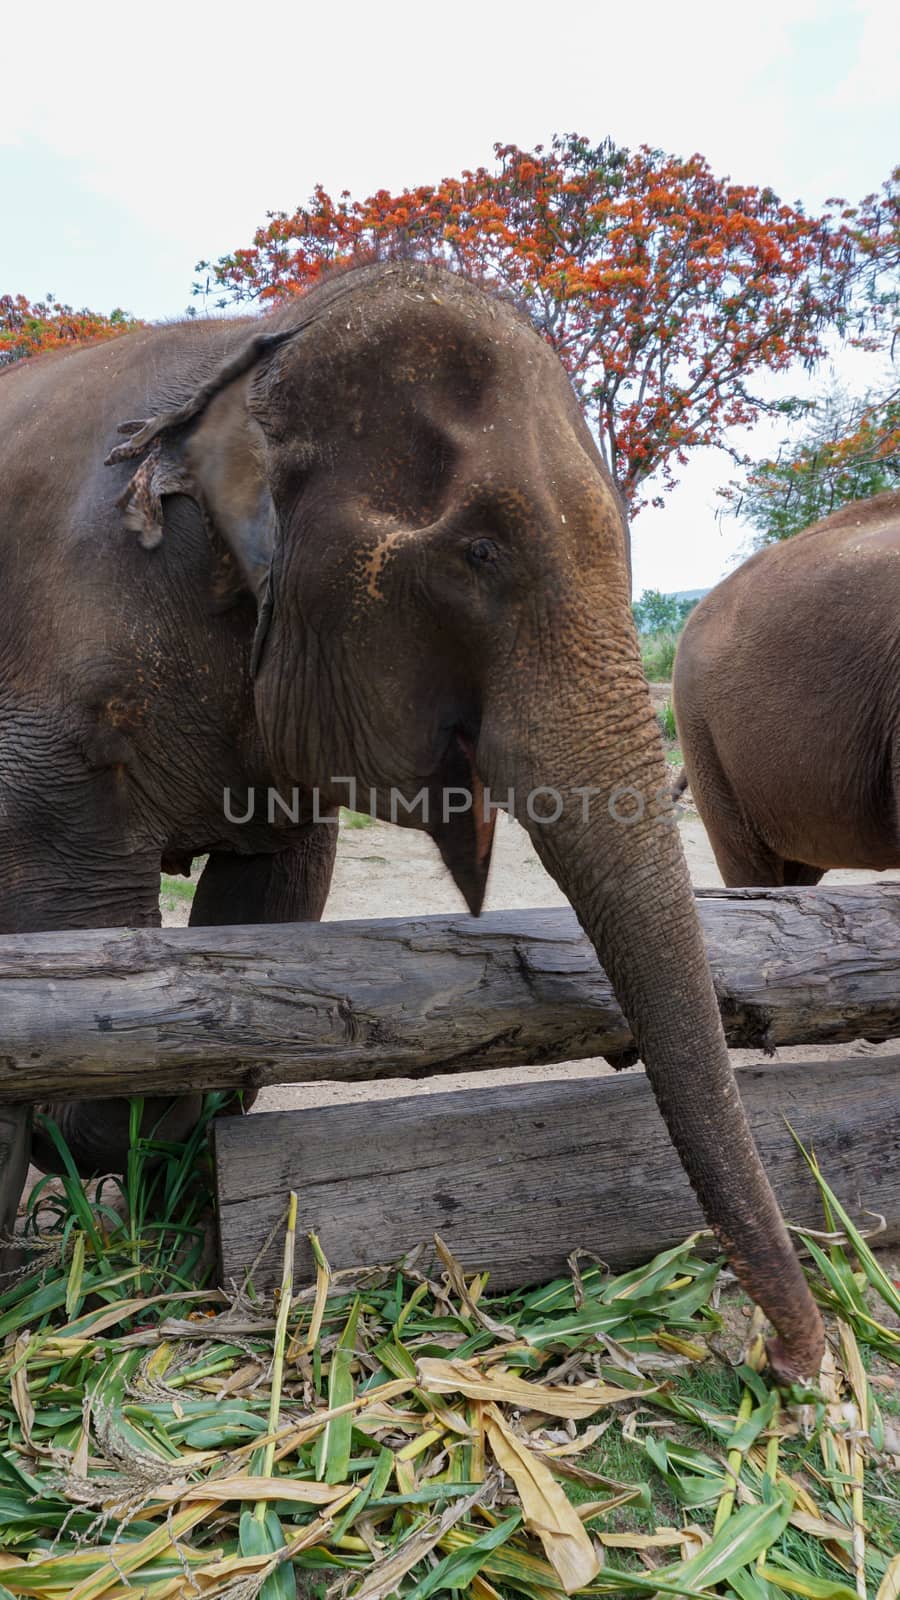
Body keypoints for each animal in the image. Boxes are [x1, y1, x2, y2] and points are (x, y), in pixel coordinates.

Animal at [0, 256, 819, 1382]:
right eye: (479, 553)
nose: (781, 1362)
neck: (253, 356)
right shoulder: (59, 706)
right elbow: (77, 944)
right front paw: (89, 1159)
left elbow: (269, 894)